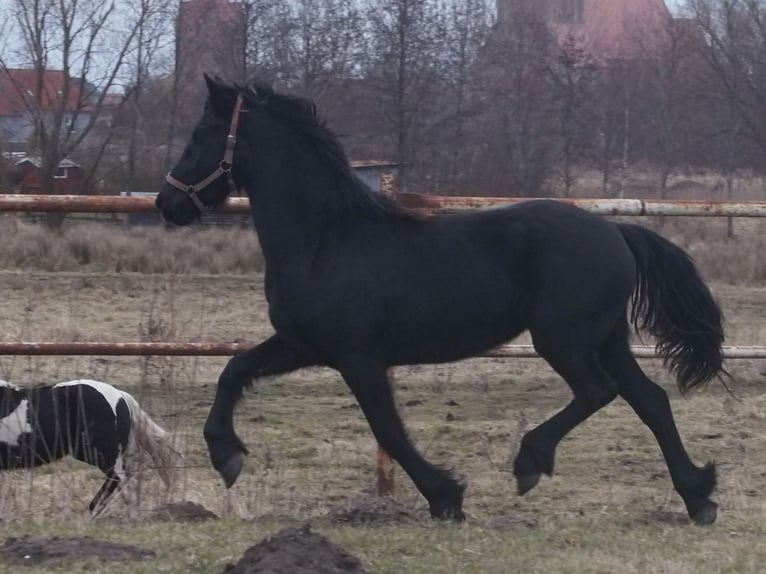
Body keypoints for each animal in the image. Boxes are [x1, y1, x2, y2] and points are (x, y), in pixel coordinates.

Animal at [154, 75, 728, 528]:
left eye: (200, 135)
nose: (168, 203)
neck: (325, 239)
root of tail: (617, 233)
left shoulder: (357, 358)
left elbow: (388, 428)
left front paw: (446, 496)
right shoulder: (302, 345)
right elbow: (234, 369)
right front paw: (226, 455)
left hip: (564, 339)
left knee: (598, 391)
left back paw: (530, 463)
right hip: (605, 338)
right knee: (650, 400)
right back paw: (698, 497)